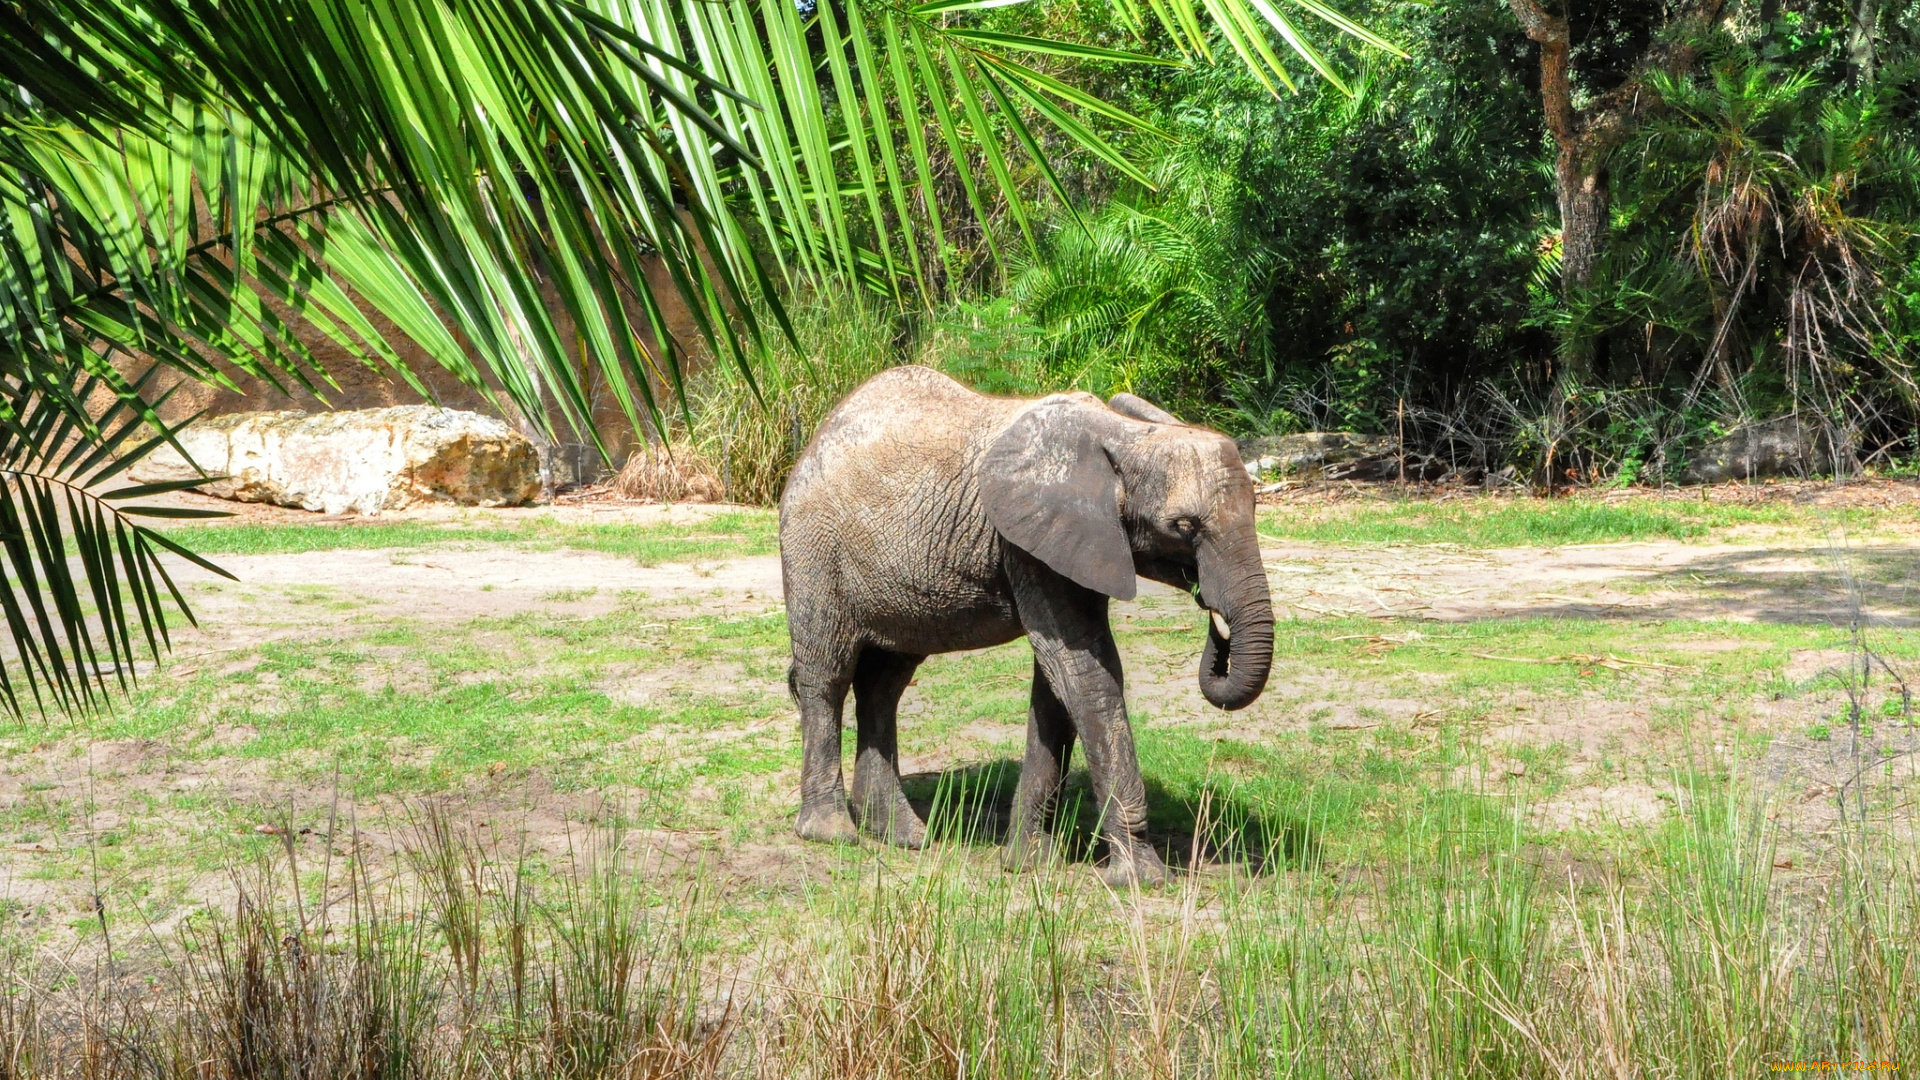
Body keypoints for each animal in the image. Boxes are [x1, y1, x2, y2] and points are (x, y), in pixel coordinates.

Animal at [771, 365, 1282, 880]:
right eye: (1183, 526)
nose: (1211, 609)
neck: (1124, 436)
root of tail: (816, 438)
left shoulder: (1070, 545)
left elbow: (1058, 685)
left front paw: (1029, 863)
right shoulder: (1029, 542)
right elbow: (1085, 673)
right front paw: (1142, 879)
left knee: (884, 685)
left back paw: (905, 837)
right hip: (813, 548)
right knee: (827, 677)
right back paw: (831, 832)